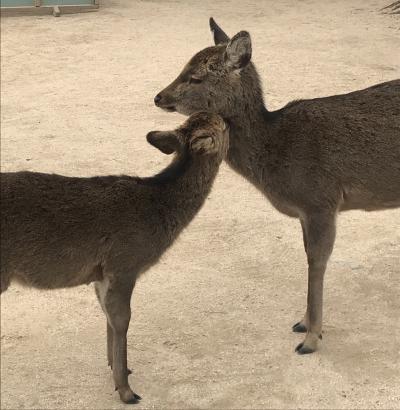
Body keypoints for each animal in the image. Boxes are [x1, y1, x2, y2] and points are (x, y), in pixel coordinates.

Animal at [0, 112, 230, 404]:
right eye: (224, 126)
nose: (232, 121)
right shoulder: (124, 262)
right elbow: (122, 318)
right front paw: (127, 391)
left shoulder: (101, 272)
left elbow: (106, 313)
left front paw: (117, 367)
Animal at [154, 18, 400, 356]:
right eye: (185, 66)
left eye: (195, 76)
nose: (159, 97)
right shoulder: (307, 211)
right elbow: (309, 254)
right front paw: (303, 323)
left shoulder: (321, 200)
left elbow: (317, 260)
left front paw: (310, 339)